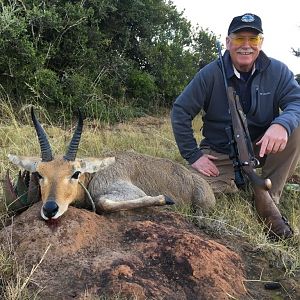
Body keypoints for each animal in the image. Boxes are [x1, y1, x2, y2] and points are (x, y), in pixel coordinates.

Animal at [5, 108, 216, 220]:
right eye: (40, 174)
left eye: (75, 173)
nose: (50, 209)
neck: (94, 175)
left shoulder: (131, 192)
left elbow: (102, 203)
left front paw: (165, 200)